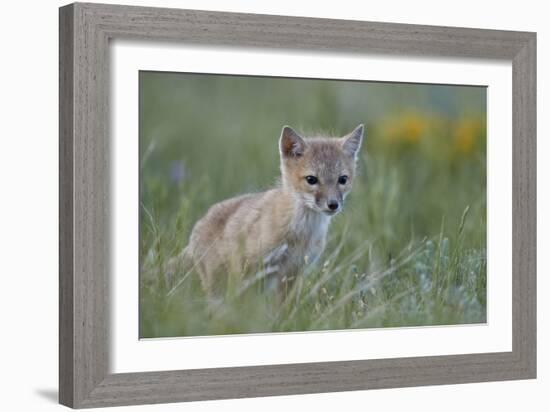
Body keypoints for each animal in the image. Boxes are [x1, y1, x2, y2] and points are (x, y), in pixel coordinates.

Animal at [168, 124, 366, 300]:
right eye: (311, 179)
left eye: (343, 179)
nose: (333, 204)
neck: (301, 232)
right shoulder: (250, 267)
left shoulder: (292, 273)